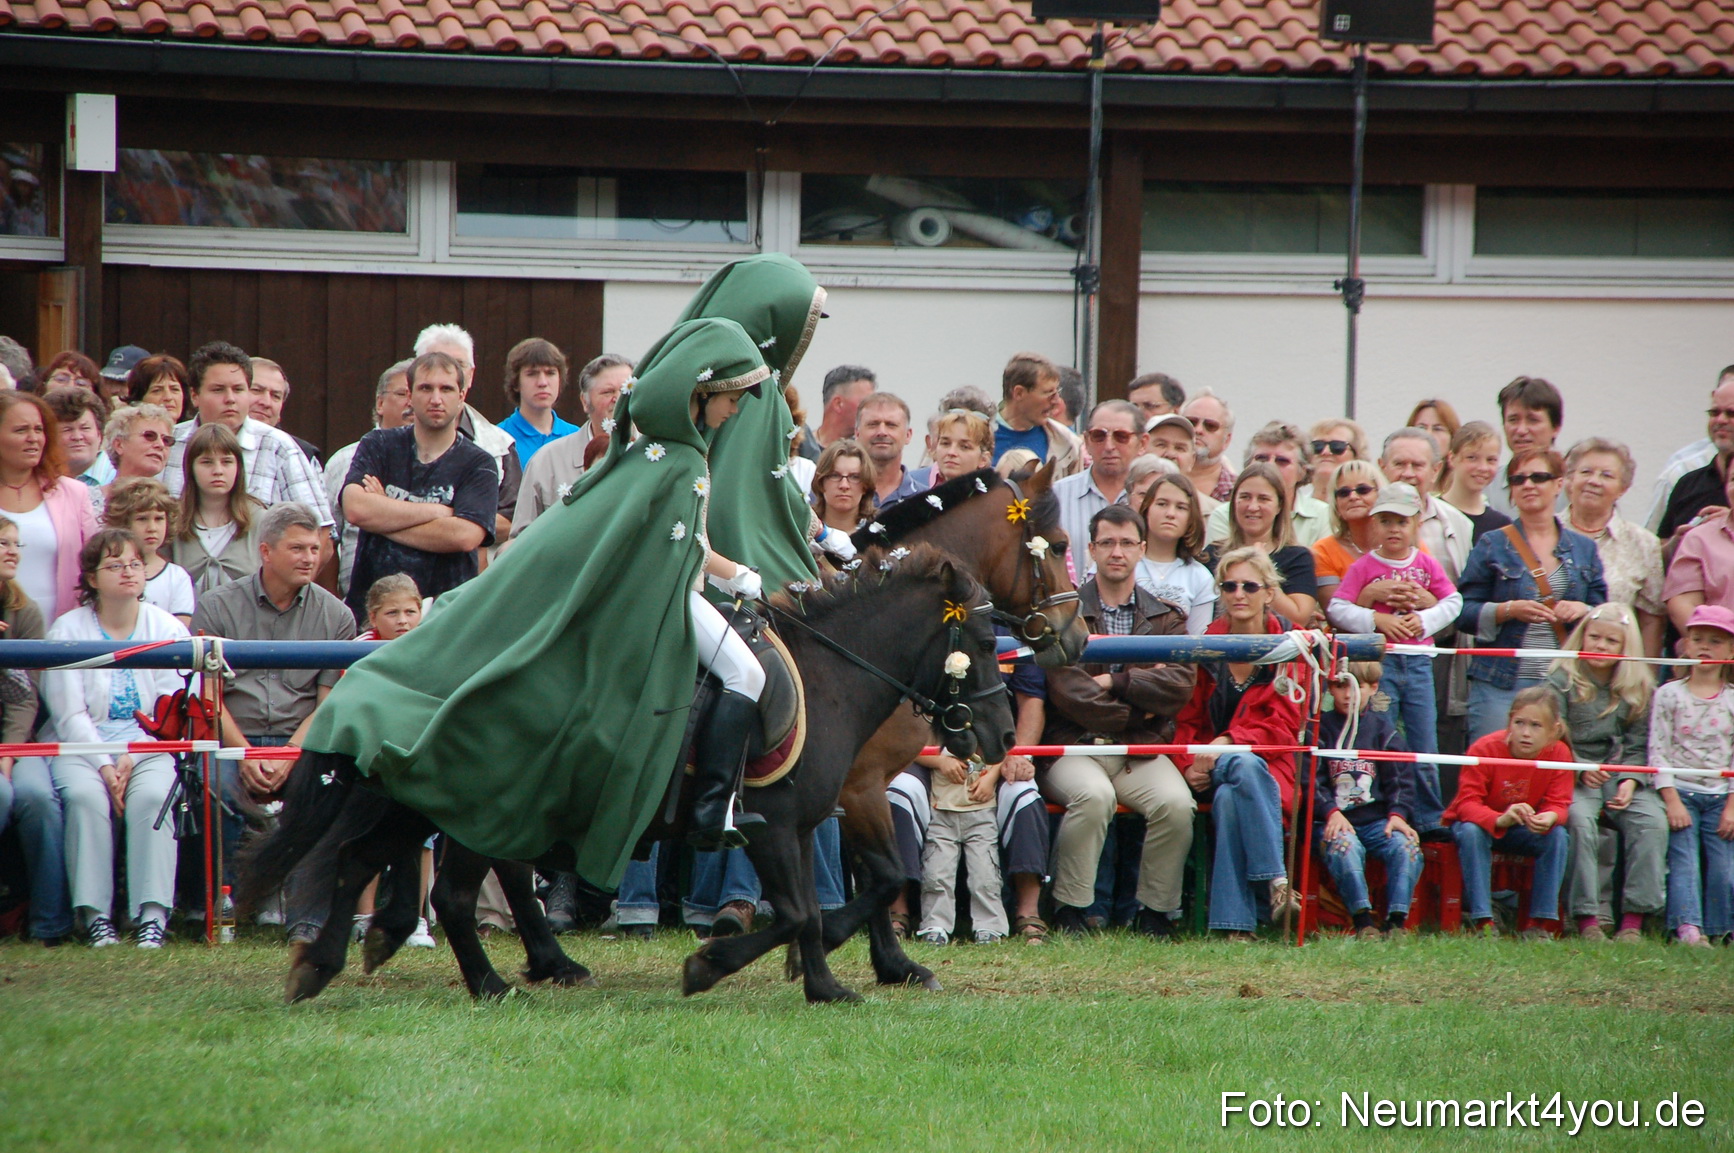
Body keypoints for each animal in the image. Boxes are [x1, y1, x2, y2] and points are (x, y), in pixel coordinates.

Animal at [240, 545, 1017, 1004]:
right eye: (982, 640)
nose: (1004, 736)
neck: (829, 678)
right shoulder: (774, 824)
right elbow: (800, 911)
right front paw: (720, 968)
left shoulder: (804, 823)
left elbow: (828, 901)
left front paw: (822, 980)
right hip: (469, 809)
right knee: (454, 896)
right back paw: (492, 982)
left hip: (425, 805)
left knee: (357, 857)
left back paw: (329, 962)